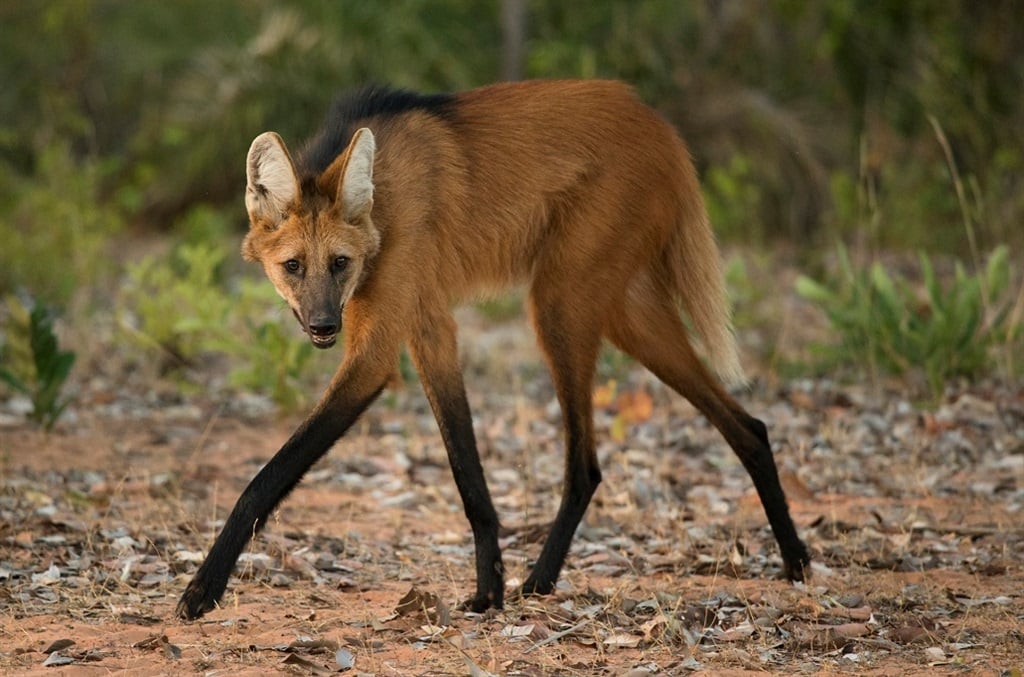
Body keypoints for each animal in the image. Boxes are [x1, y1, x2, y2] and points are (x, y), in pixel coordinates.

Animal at [180, 79, 811, 618]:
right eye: (293, 266)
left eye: (339, 263)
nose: (322, 325)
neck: (383, 200)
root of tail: (658, 123)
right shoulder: (430, 327)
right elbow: (468, 472)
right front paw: (489, 589)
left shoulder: (378, 350)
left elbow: (265, 477)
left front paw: (202, 589)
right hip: (625, 313)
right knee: (748, 427)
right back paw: (796, 560)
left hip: (559, 304)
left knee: (585, 466)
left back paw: (542, 580)